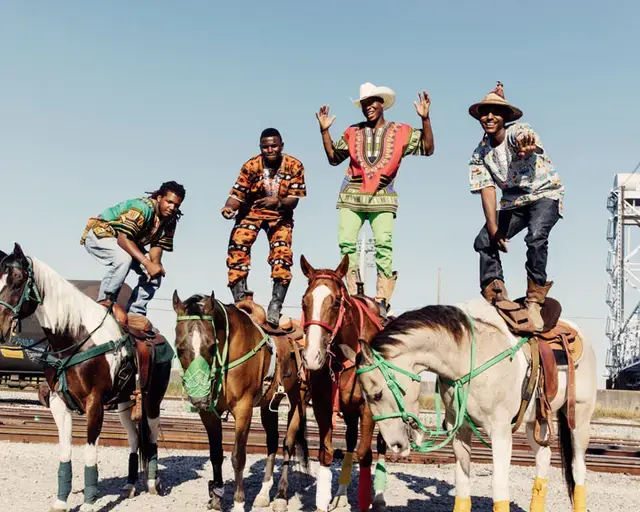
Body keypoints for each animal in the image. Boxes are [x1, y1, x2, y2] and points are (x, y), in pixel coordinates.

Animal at [0, 245, 172, 512]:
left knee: (151, 436)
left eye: (18, 281)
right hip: (125, 403)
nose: (0, 326)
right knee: (134, 438)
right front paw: (61, 501)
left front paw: (90, 503)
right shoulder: (58, 403)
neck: (75, 338)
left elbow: (91, 454)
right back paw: (130, 485)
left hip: (152, 400)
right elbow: (65, 453)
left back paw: (153, 482)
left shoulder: (95, 404)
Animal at [171, 290, 308, 510]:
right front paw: (216, 497)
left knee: (288, 444)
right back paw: (263, 494)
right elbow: (216, 454)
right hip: (270, 405)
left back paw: (280, 496)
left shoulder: (243, 409)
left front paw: (238, 503)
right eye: (180, 348)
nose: (199, 398)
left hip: (298, 401)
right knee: (272, 440)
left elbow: (238, 457)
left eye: (211, 346)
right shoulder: (208, 413)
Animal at [298, 254, 388, 512]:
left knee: (380, 446)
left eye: (337, 302)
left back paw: (379, 496)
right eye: (304, 301)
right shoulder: (323, 404)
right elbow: (326, 452)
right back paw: (340, 493)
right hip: (348, 410)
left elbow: (365, 453)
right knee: (349, 441)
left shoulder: (368, 408)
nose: (311, 356)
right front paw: (323, 501)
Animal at [358, 298, 596, 510]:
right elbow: (462, 485)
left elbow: (499, 488)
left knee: (578, 470)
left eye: (377, 394)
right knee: (543, 459)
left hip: (580, 419)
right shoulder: (460, 429)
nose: (395, 445)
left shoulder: (500, 432)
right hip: (536, 422)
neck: (468, 359)